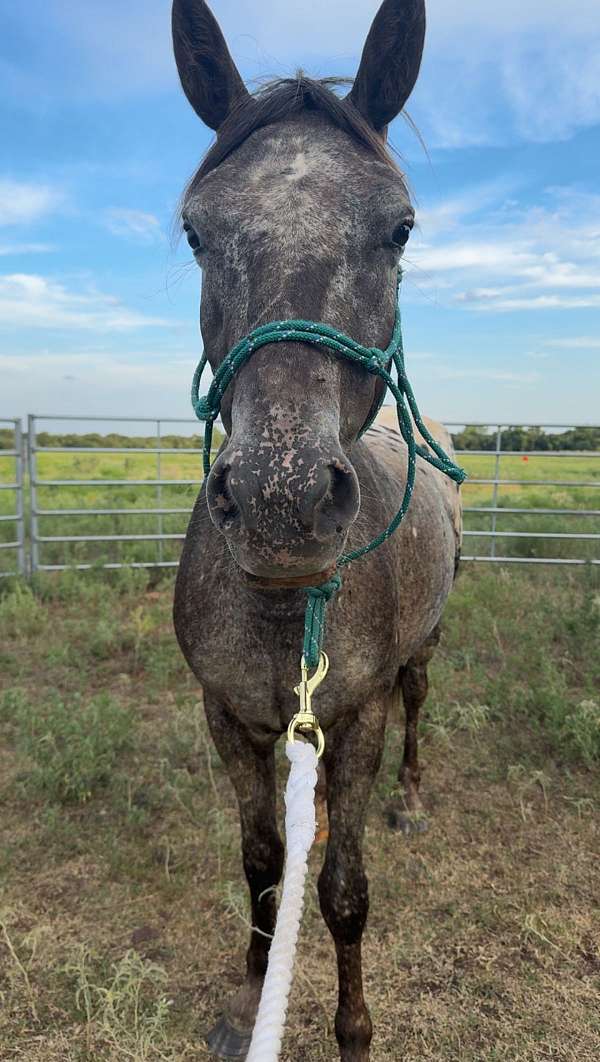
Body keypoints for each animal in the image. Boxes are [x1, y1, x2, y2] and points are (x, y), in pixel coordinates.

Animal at [171, 1, 462, 1058]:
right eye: (195, 230)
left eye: (400, 226)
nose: (281, 500)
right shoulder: (228, 716)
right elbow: (261, 861)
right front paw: (247, 999)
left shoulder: (359, 715)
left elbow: (343, 894)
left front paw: (352, 1030)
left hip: (421, 652)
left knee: (421, 703)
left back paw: (412, 800)